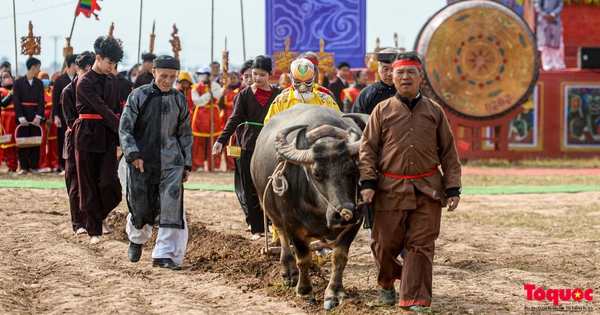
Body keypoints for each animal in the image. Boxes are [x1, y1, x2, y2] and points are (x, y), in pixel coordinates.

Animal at [251, 105, 364, 312]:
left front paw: (334, 293)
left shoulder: (356, 222)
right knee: (282, 238)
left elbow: (339, 257)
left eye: (351, 170)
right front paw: (304, 292)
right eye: (317, 173)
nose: (343, 214)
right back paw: (289, 272)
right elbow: (303, 257)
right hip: (272, 213)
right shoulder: (293, 225)